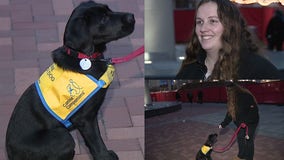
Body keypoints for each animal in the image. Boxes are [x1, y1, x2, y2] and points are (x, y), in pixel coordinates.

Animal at [5, 1, 134, 160]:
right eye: (103, 19)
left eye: (109, 9)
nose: (132, 17)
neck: (83, 57)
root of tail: (10, 154)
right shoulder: (85, 119)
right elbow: (97, 141)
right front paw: (105, 156)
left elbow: (91, 142)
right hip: (63, 136)